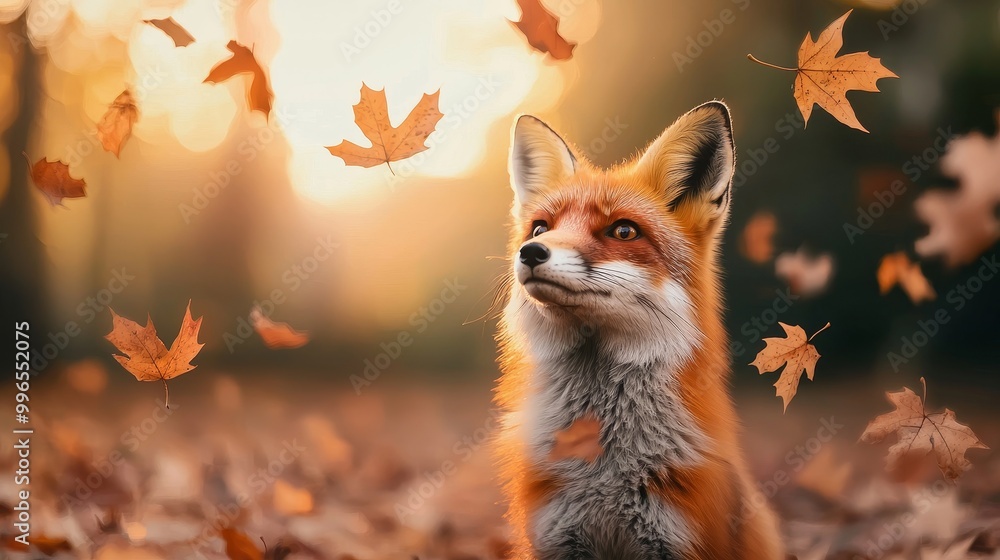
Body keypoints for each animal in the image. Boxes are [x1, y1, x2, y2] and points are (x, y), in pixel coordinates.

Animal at [493, 102, 785, 560]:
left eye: (623, 230)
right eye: (541, 227)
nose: (531, 252)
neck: (604, 472)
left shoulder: (681, 537)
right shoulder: (556, 537)